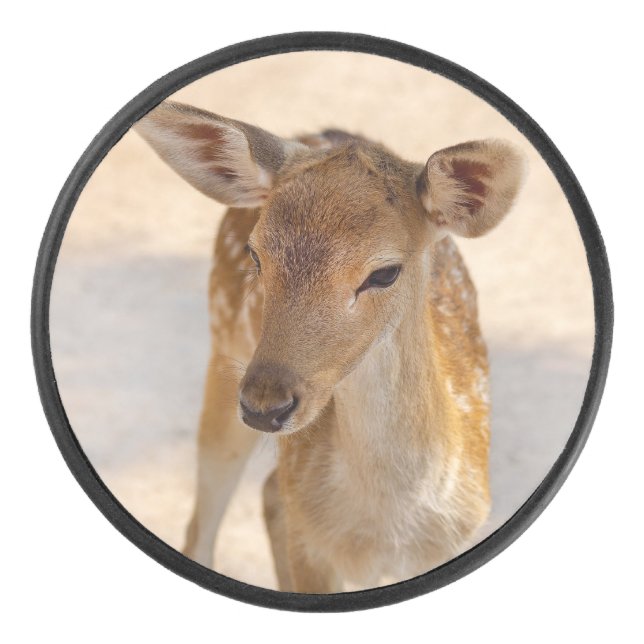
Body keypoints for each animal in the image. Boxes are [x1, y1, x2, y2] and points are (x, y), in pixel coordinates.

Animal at [135, 101, 524, 593]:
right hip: (223, 348)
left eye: (384, 273)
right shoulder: (313, 550)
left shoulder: (459, 535)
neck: (388, 531)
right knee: (203, 524)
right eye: (255, 255)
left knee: (268, 491)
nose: (264, 405)